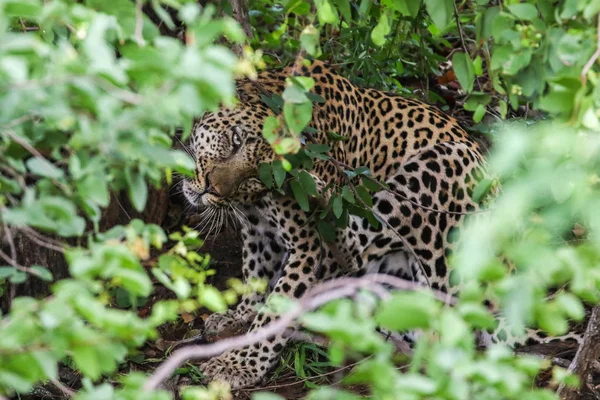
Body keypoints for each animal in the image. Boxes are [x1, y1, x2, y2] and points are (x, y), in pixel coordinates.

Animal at [180, 60, 568, 390]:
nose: (212, 188)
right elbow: (256, 273)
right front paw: (238, 316)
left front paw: (241, 364)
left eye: (255, 168)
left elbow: (278, 308)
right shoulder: (259, 228)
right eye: (235, 141)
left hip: (443, 167)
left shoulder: (306, 245)